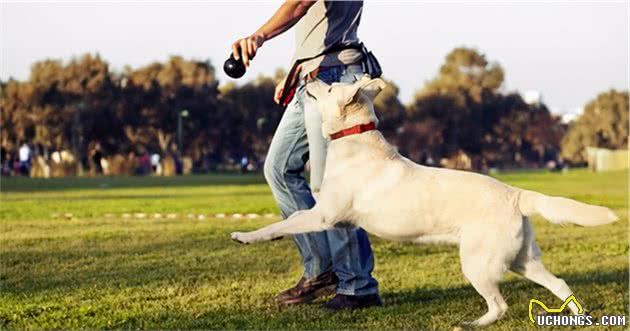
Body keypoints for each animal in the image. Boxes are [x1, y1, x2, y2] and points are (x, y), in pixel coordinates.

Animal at [231, 75, 616, 326]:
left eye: (327, 87)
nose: (308, 77)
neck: (355, 140)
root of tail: (516, 194)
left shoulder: (323, 215)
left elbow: (282, 223)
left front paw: (245, 236)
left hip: (478, 263)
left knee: (500, 305)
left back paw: (472, 323)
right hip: (522, 260)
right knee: (559, 283)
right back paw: (579, 316)